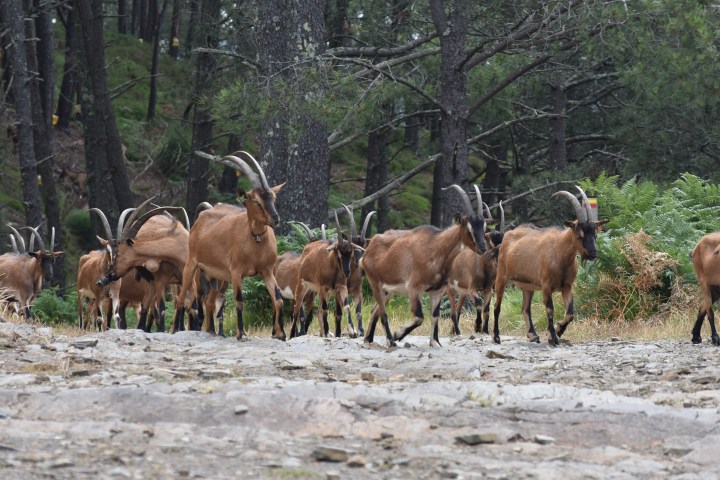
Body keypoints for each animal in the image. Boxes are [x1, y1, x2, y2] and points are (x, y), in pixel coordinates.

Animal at [171, 151, 286, 340]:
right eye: (255, 201)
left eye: (273, 197)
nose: (275, 219)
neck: (255, 242)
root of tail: (201, 217)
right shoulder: (236, 272)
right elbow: (239, 300)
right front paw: (241, 333)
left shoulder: (267, 271)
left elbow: (278, 299)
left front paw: (281, 334)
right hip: (193, 265)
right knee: (182, 298)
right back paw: (175, 329)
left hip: (217, 276)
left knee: (210, 301)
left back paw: (211, 330)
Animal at [361, 184, 489, 348]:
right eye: (468, 228)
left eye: (483, 226)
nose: (483, 248)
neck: (436, 247)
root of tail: (370, 247)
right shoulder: (414, 289)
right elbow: (419, 317)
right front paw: (398, 334)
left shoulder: (437, 291)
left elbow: (434, 316)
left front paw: (435, 342)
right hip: (375, 283)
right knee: (383, 313)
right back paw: (390, 340)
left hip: (388, 290)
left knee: (374, 311)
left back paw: (368, 339)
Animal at [492, 187, 607, 346]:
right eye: (579, 235)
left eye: (595, 234)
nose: (593, 253)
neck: (560, 253)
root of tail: (507, 236)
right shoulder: (546, 285)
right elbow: (550, 309)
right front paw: (552, 337)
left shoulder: (567, 286)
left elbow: (570, 313)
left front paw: (558, 330)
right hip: (501, 277)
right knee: (497, 306)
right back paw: (496, 337)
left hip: (528, 286)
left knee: (525, 308)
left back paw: (533, 335)